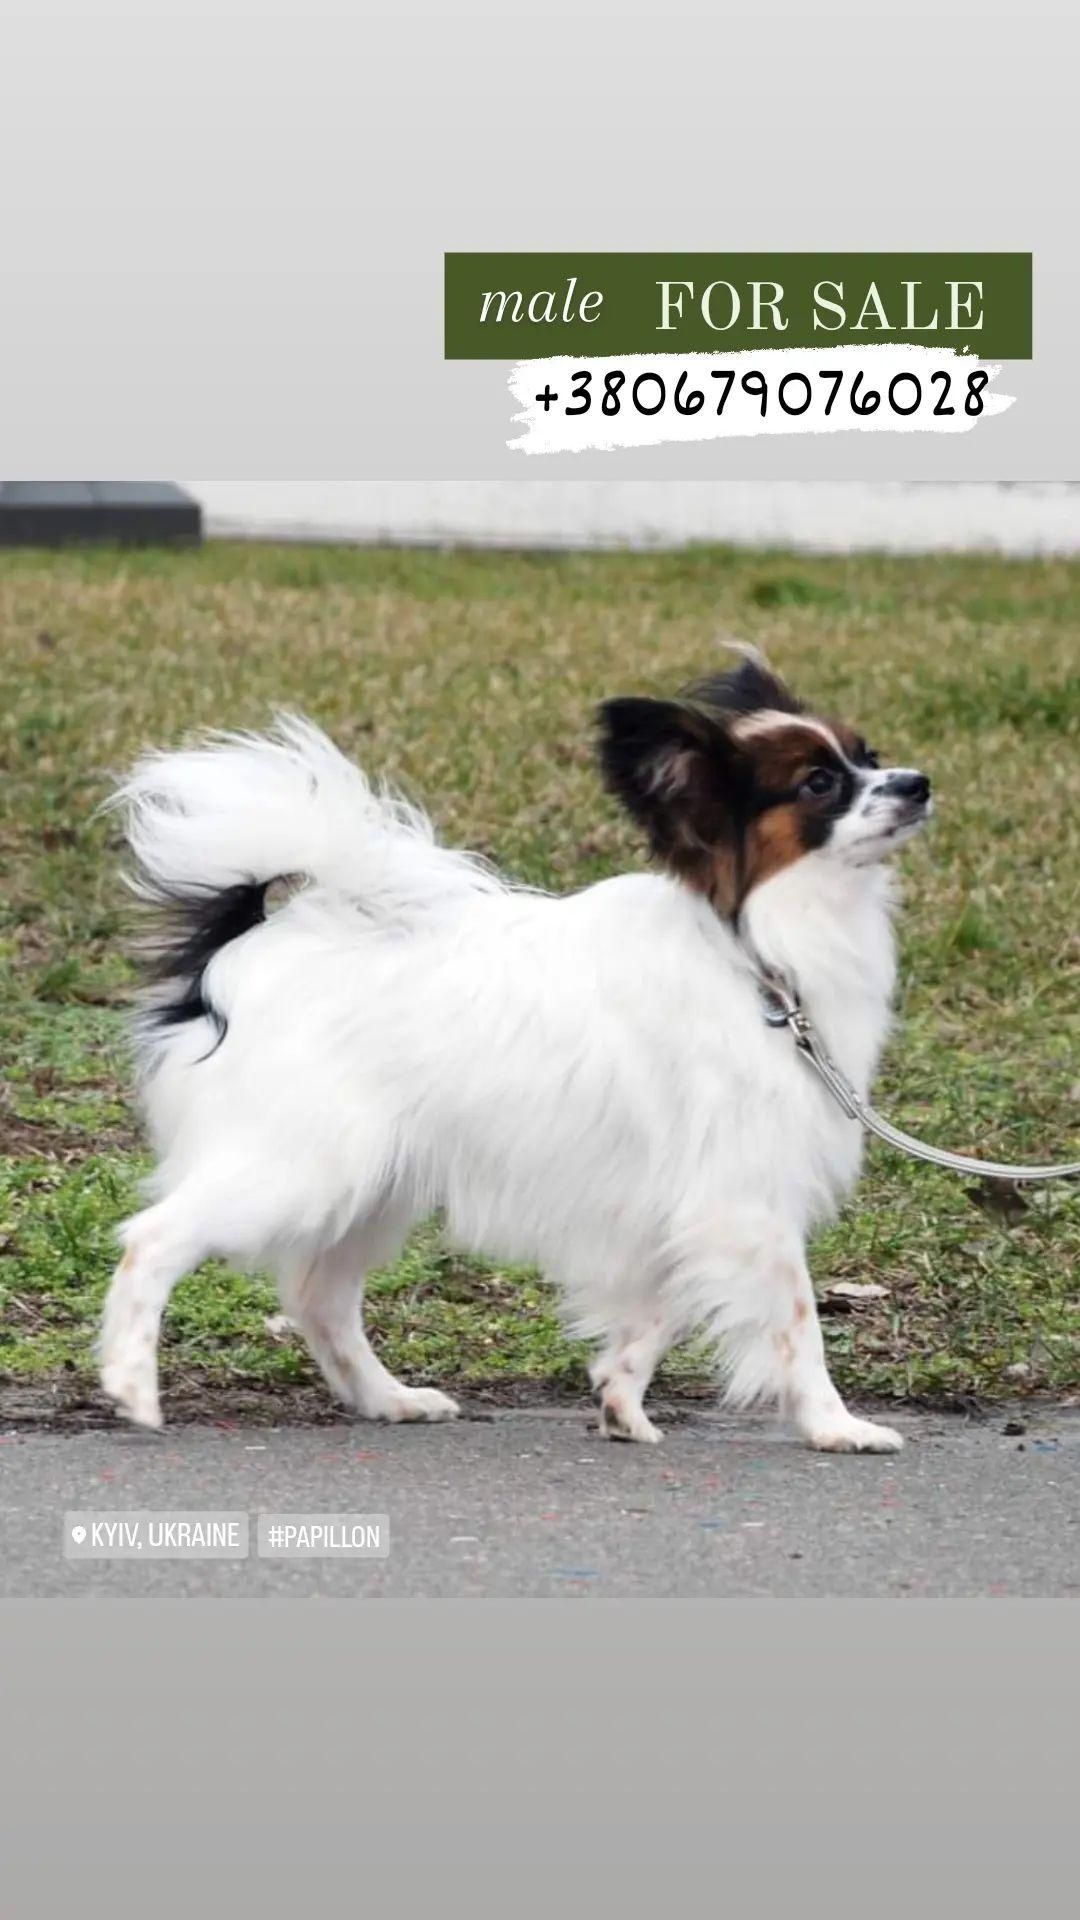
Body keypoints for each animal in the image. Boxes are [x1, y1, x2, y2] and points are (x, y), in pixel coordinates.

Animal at [96, 652, 930, 1443]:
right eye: (819, 783)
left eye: (869, 755)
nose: (919, 784)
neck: (755, 956)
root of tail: (236, 955)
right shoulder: (746, 1197)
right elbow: (796, 1326)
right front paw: (836, 1425)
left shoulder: (688, 1206)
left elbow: (658, 1313)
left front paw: (619, 1401)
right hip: (298, 1168)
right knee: (154, 1239)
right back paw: (132, 1387)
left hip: (368, 1187)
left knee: (318, 1299)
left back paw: (390, 1399)